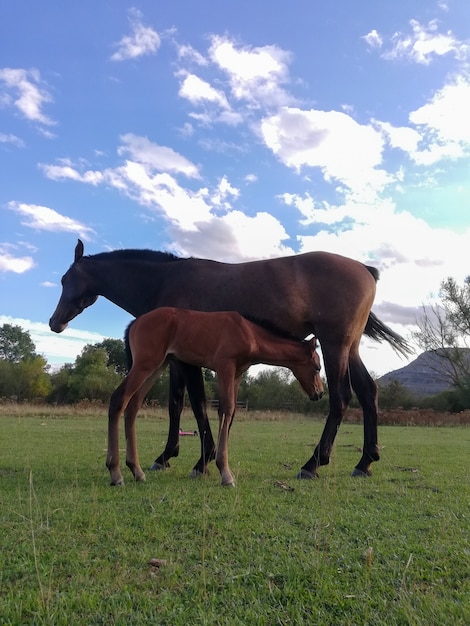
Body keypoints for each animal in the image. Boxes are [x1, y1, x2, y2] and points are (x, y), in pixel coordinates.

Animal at [108, 304, 324, 486]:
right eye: (317, 367)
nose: (320, 393)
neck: (249, 332)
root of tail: (135, 322)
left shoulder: (237, 374)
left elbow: (229, 411)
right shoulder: (225, 367)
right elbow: (226, 409)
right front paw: (226, 474)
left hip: (157, 366)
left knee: (133, 406)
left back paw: (136, 470)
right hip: (146, 364)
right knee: (119, 399)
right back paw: (116, 473)